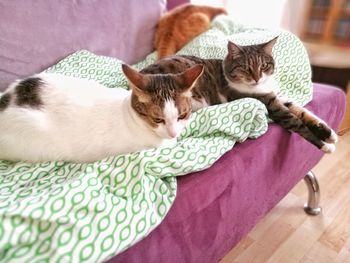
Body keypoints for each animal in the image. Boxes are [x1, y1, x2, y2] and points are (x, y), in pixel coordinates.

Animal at [139, 37, 340, 153]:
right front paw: (325, 145)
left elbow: (302, 111)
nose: (257, 78)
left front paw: (328, 133)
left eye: (264, 65)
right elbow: (294, 120)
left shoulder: (276, 96)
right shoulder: (269, 103)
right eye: (245, 68)